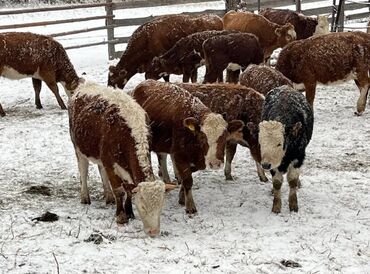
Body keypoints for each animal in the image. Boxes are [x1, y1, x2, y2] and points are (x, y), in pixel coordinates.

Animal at [68, 80, 175, 237]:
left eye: (160, 205)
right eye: (143, 206)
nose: (154, 231)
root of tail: (85, 84)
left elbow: (129, 190)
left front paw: (129, 212)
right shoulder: (110, 163)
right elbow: (119, 190)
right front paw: (121, 216)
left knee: (101, 171)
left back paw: (108, 197)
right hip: (78, 148)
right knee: (83, 170)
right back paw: (85, 197)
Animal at [132, 79, 244, 214]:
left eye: (224, 136)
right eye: (203, 137)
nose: (215, 163)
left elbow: (187, 175)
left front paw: (181, 197)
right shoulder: (179, 155)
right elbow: (187, 179)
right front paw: (190, 205)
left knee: (162, 156)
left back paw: (167, 180)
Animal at [258, 85, 314, 214]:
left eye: (279, 143)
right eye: (261, 142)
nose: (266, 165)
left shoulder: (298, 157)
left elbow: (292, 180)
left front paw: (293, 205)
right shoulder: (274, 163)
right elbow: (277, 182)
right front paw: (276, 206)